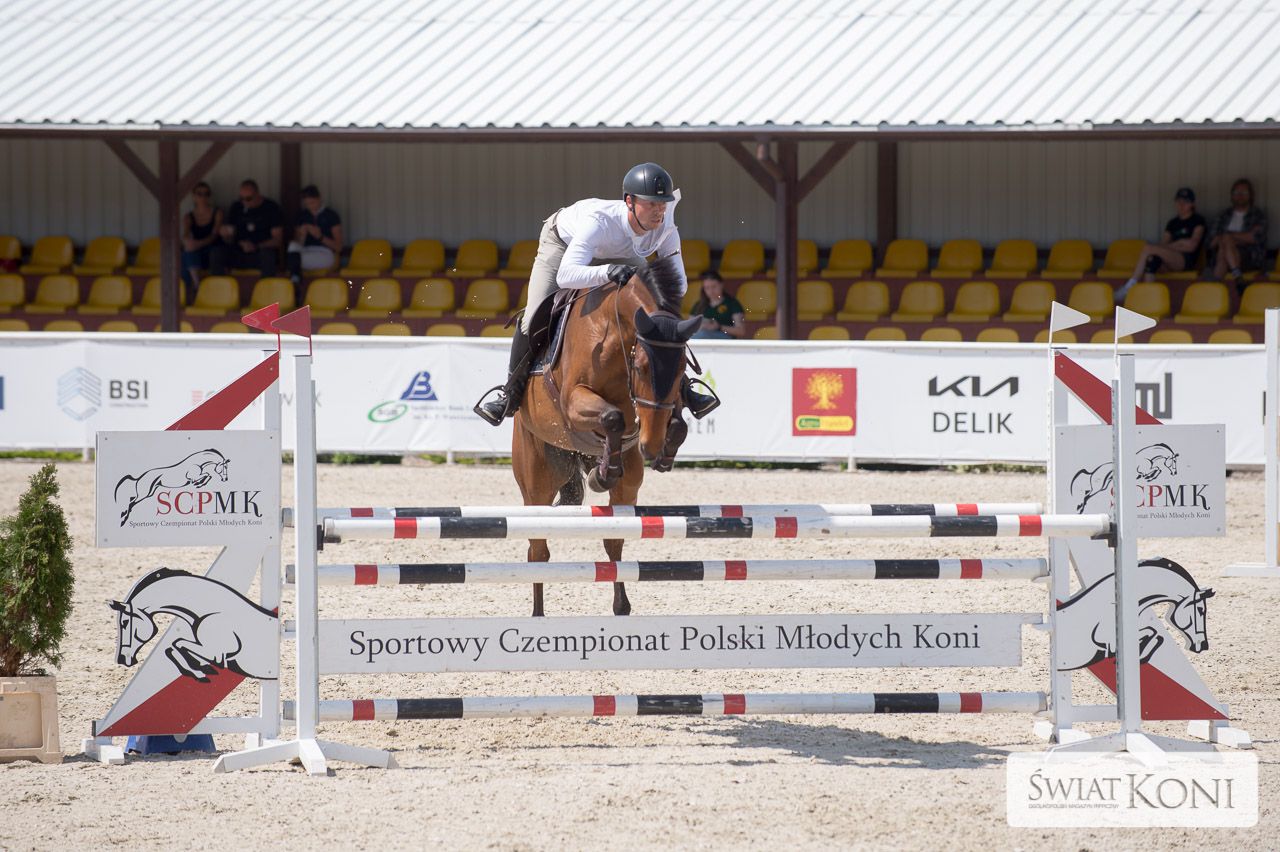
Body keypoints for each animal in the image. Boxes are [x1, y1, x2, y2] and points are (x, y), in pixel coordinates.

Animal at [109, 567, 278, 682]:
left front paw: (199, 672)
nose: (122, 658)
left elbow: (178, 644)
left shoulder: (216, 652)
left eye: (125, 622)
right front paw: (202, 668)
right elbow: (173, 647)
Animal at [512, 254, 701, 617]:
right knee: (537, 551)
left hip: (627, 487)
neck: (614, 334)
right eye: (641, 367)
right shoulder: (574, 401)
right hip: (537, 480)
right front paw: (604, 473)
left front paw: (663, 452)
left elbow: (677, 424)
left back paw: (621, 606)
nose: (650, 445)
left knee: (614, 541)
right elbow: (612, 417)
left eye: (682, 367)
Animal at [1055, 557, 1215, 671]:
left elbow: (1156, 634)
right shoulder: (1106, 639)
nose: (1204, 645)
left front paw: (1141, 657)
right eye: (1201, 610)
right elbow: (1151, 632)